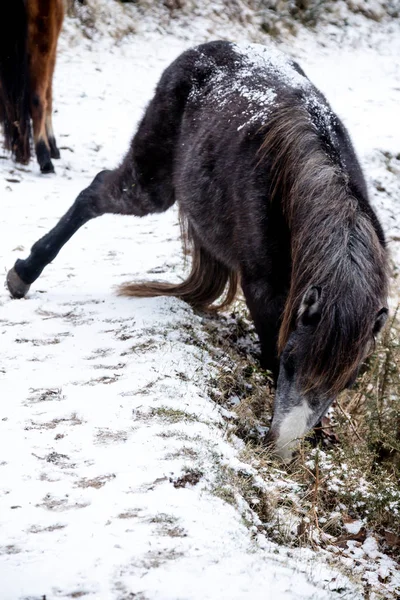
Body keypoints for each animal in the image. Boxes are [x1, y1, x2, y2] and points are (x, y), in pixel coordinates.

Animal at [6, 39, 390, 458]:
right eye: (291, 363)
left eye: (347, 382)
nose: (281, 450)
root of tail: (203, 48)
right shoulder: (265, 294)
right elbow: (269, 352)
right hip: (150, 185)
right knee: (93, 194)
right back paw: (25, 272)